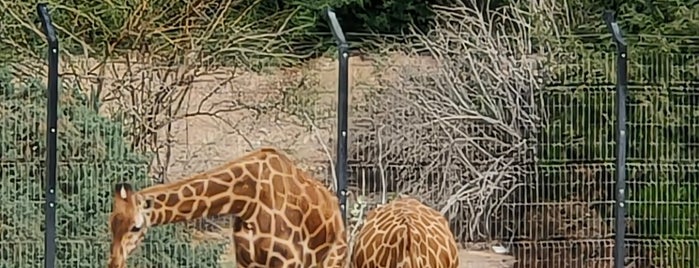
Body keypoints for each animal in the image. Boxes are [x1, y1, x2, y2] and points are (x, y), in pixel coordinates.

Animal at [108, 148, 348, 266]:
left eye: (136, 227)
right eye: (111, 224)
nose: (115, 263)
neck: (249, 200)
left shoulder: (288, 261)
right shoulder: (246, 260)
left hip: (334, 259)